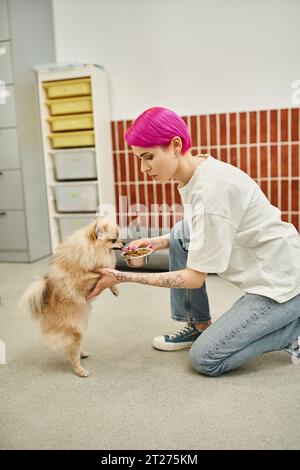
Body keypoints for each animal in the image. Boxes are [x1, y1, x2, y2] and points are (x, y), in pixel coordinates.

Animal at [19, 218, 124, 378]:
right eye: (114, 239)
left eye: (119, 237)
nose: (124, 242)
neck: (90, 251)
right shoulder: (83, 276)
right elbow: (101, 272)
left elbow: (109, 274)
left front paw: (115, 289)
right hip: (75, 332)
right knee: (72, 355)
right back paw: (80, 370)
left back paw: (83, 353)